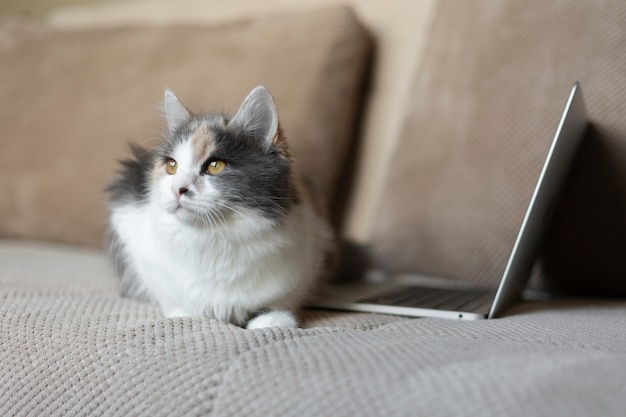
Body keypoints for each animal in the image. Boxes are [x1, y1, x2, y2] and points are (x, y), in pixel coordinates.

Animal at [105, 86, 334, 328]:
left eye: (215, 166)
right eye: (172, 166)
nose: (177, 189)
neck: (214, 236)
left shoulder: (312, 250)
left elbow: (275, 302)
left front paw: (272, 320)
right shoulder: (130, 228)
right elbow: (169, 295)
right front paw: (181, 313)